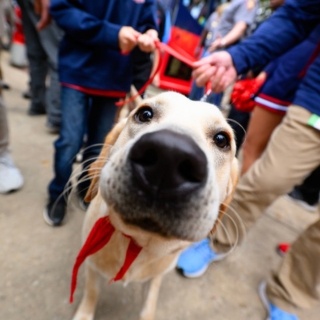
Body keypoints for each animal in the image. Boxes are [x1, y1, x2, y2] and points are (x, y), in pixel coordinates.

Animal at [72, 92, 238, 320]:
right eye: (145, 114)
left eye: (222, 140)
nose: (170, 155)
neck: (138, 242)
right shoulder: (91, 262)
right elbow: (92, 290)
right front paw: (85, 313)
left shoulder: (156, 277)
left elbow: (148, 306)